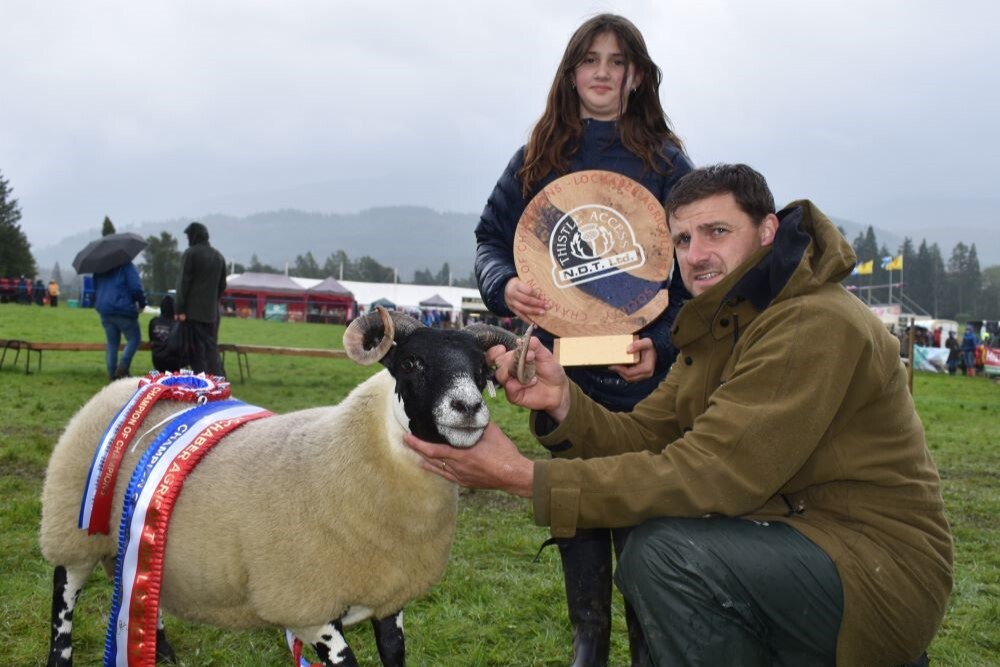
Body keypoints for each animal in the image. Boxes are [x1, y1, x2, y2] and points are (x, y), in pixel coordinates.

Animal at [39, 310, 532, 667]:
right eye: (412, 362)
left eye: (484, 368)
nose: (468, 408)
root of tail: (136, 382)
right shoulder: (306, 607)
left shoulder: (390, 597)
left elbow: (395, 654)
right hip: (73, 529)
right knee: (63, 602)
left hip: (137, 540)